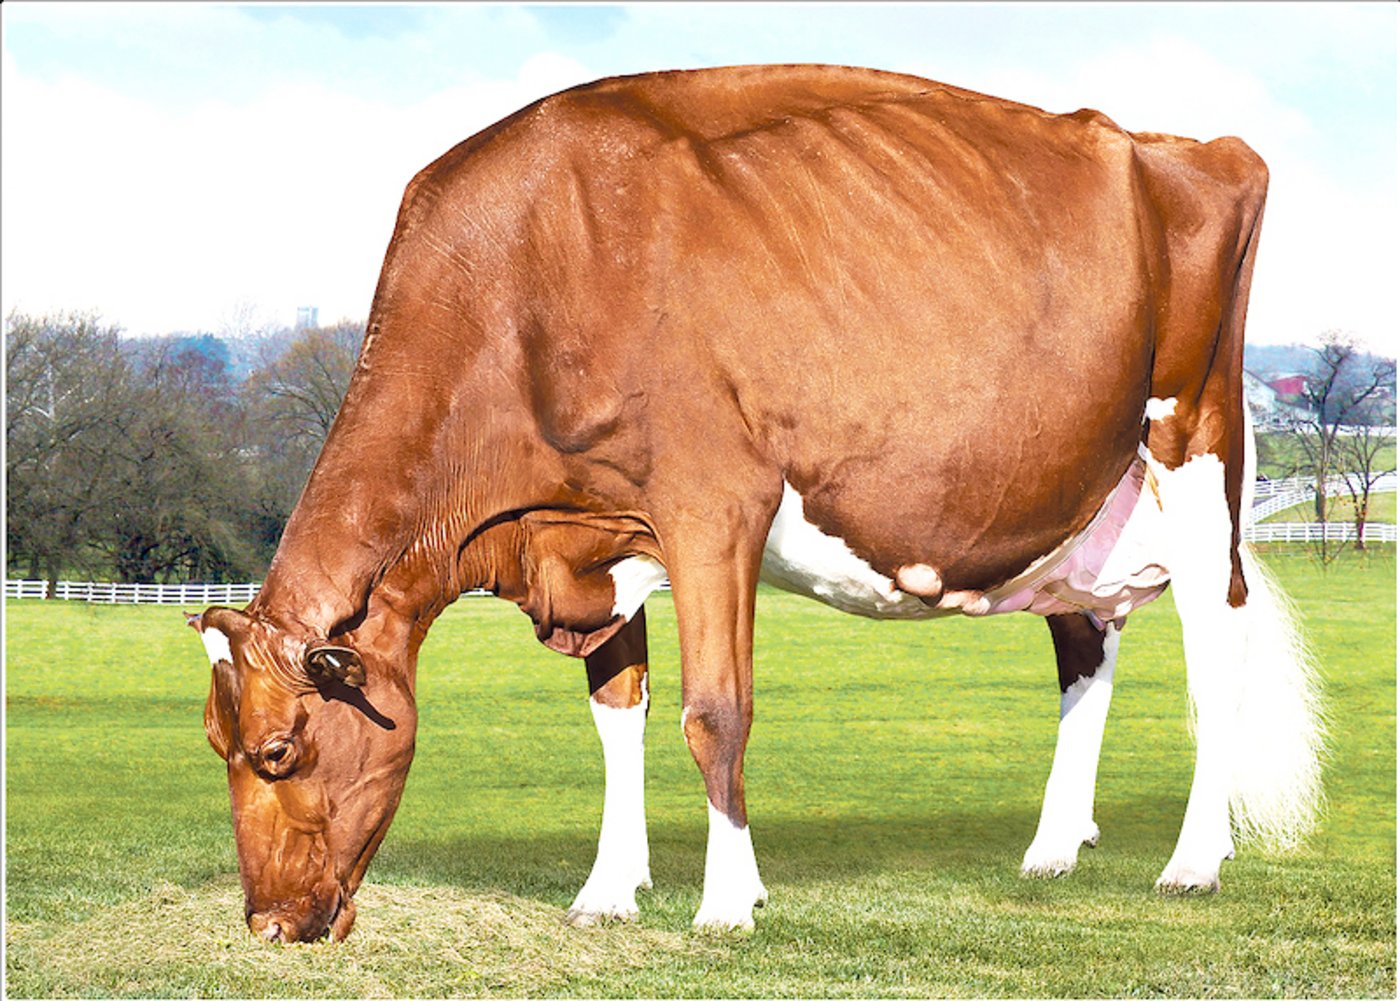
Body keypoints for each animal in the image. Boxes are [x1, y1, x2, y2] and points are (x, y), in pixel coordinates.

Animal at [190, 64, 1323, 943]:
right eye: (216, 746)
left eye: (278, 750)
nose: (268, 924)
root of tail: (1184, 143)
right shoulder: (598, 534)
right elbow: (617, 712)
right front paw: (607, 891)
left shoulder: (711, 505)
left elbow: (714, 712)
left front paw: (727, 903)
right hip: (1080, 492)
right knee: (1084, 639)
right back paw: (1051, 847)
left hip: (1193, 443)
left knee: (1211, 650)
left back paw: (1191, 860)